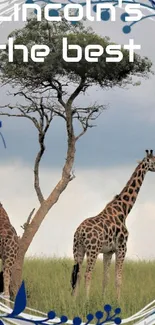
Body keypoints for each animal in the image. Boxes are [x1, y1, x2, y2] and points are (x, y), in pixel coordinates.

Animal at [71, 149, 155, 298]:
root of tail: (80, 232)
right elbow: (118, 279)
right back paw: (86, 300)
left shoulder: (108, 251)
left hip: (78, 249)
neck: (124, 210)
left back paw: (74, 301)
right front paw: (119, 300)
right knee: (87, 274)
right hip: (92, 250)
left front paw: (104, 299)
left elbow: (106, 278)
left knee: (78, 274)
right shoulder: (122, 248)